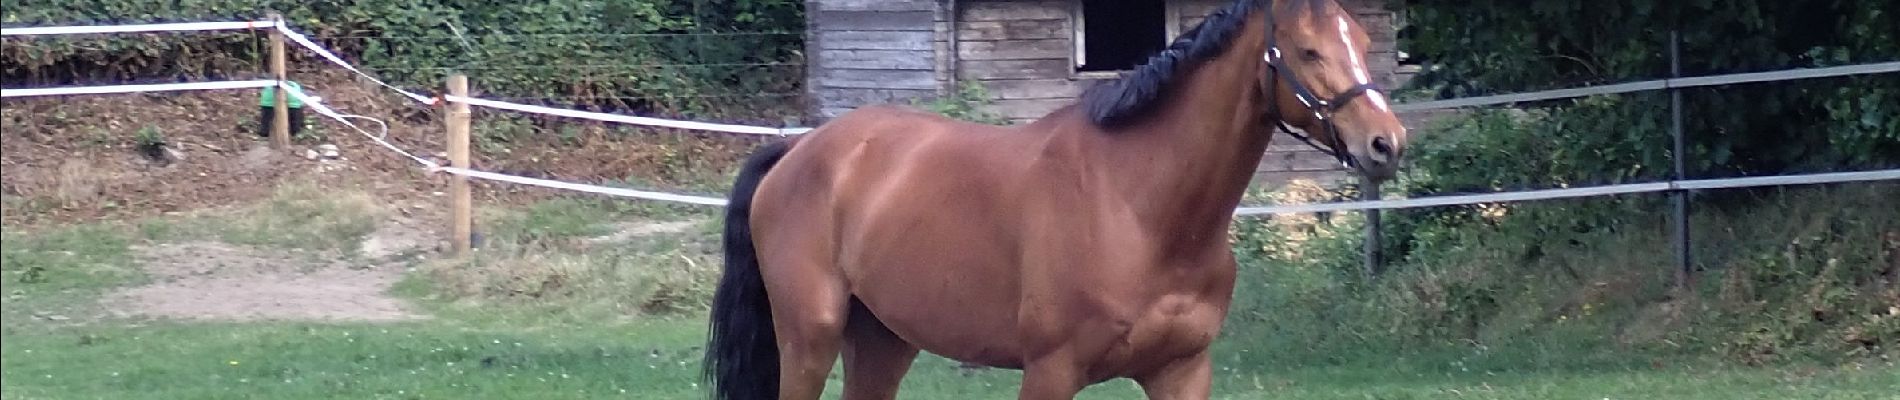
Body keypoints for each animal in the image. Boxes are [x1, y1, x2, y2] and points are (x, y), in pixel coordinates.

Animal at [706, 1, 1406, 398]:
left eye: (1364, 41)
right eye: (1309, 50)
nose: (1386, 143)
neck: (1140, 207)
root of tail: (798, 149)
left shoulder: (1181, 371)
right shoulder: (1051, 372)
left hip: (883, 342)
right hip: (809, 339)